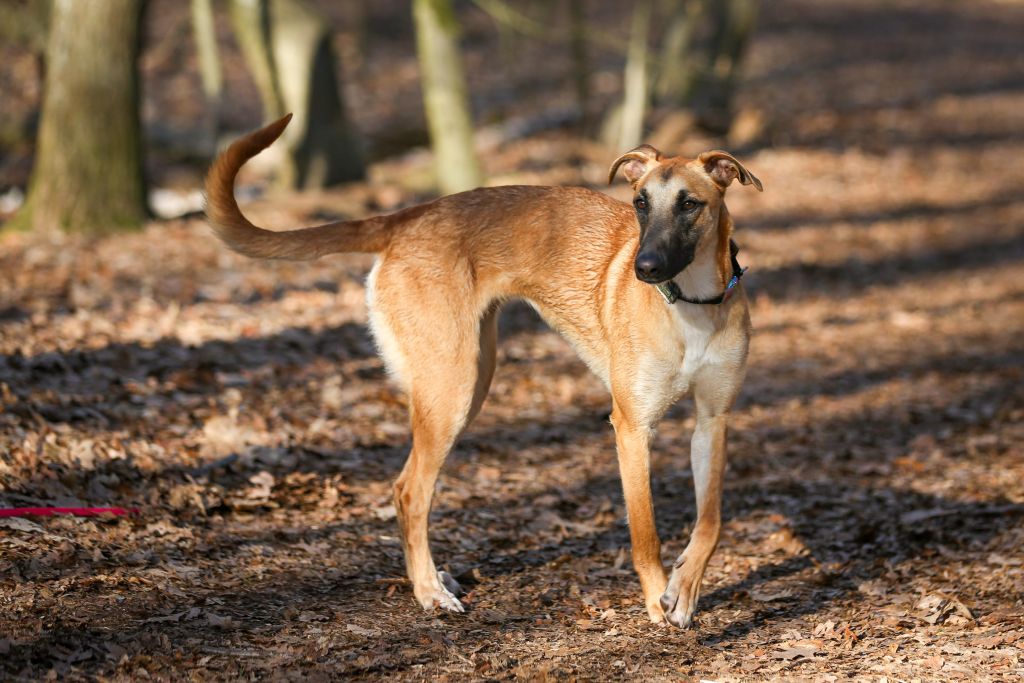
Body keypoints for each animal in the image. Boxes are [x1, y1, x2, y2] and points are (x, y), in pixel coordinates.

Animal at [205, 114, 762, 628]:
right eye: (640, 203)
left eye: (689, 204)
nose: (643, 268)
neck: (692, 302)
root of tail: (409, 217)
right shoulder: (632, 427)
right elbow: (644, 532)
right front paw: (655, 602)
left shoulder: (712, 422)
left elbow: (710, 522)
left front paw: (683, 589)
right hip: (451, 389)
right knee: (409, 491)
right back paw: (429, 592)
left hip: (472, 379)